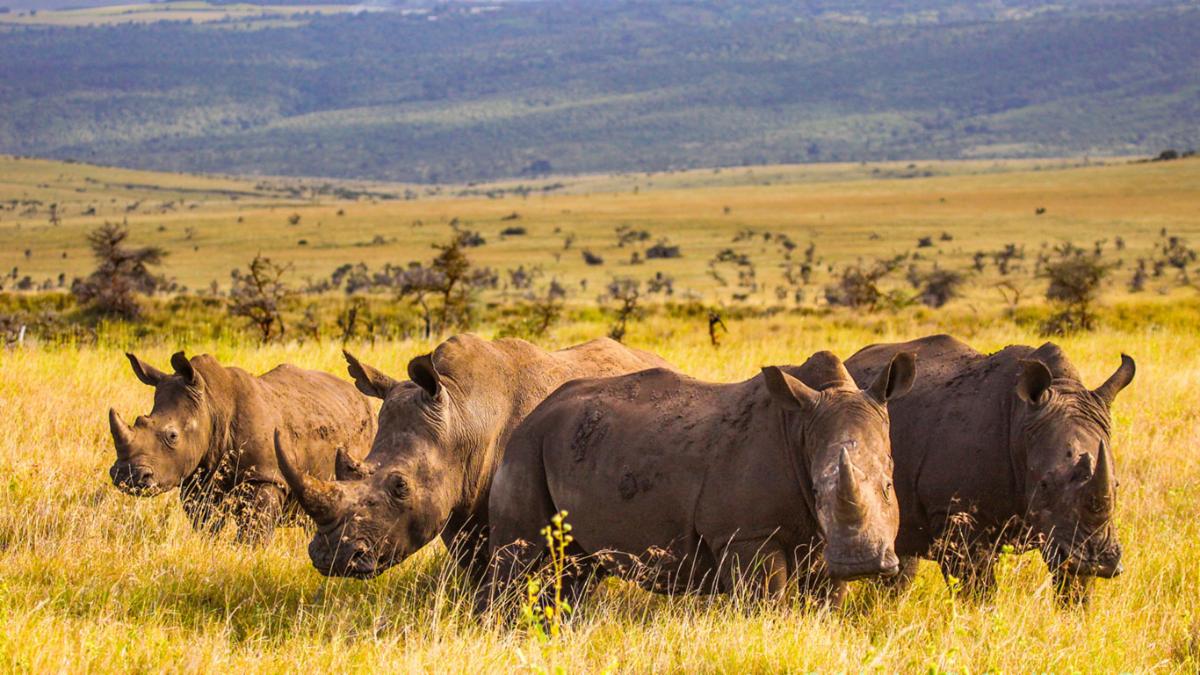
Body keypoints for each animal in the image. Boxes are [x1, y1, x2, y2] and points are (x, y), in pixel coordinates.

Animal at [108, 351, 376, 544]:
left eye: (172, 436)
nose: (126, 475)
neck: (211, 404)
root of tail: (360, 397)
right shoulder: (198, 478)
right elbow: (205, 524)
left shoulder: (265, 476)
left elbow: (253, 530)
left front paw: (248, 554)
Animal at [480, 350, 916, 609]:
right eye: (816, 490)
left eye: (888, 487)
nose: (863, 563)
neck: (800, 428)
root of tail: (538, 408)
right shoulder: (745, 534)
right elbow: (766, 602)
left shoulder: (822, 539)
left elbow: (827, 601)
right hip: (526, 446)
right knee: (517, 560)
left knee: (577, 569)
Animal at [844, 335, 1135, 602]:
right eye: (1044, 484)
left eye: (1117, 484)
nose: (1096, 561)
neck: (1022, 421)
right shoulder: (955, 517)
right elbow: (978, 590)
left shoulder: (1064, 533)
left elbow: (1074, 586)